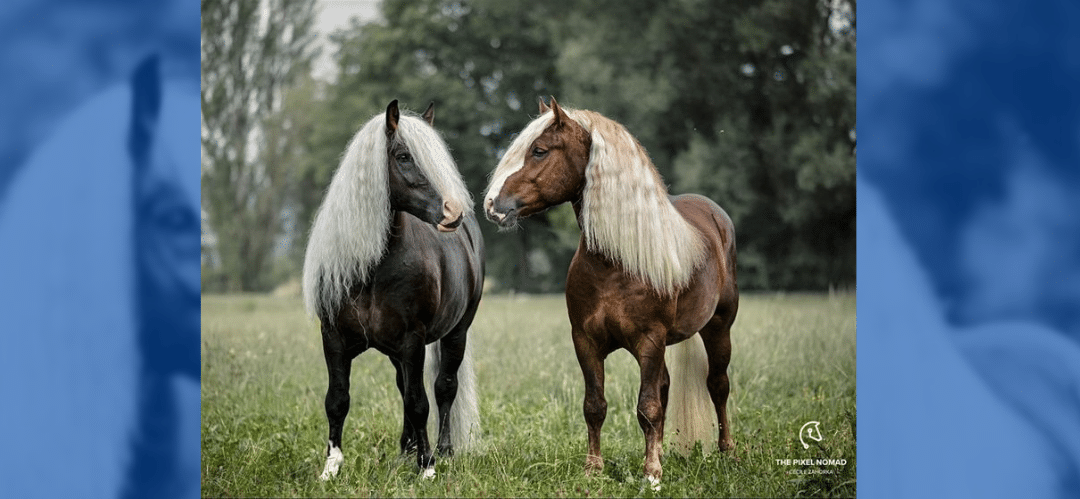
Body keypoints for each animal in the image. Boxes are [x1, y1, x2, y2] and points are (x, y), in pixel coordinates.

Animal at [302, 100, 484, 480]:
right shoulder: (333, 339)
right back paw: (406, 451)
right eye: (403, 156)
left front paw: (427, 467)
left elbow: (420, 403)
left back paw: (442, 451)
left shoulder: (413, 341)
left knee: (444, 389)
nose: (453, 211)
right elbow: (337, 400)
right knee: (404, 387)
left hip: (456, 333)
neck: (372, 270)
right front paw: (331, 466)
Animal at [483, 97, 738, 489]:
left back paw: (727, 452)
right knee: (666, 386)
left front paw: (651, 475)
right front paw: (594, 469)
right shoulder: (586, 341)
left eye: (539, 150)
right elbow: (595, 406)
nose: (492, 205)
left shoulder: (650, 341)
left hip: (718, 328)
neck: (615, 263)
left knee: (717, 385)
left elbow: (647, 407)